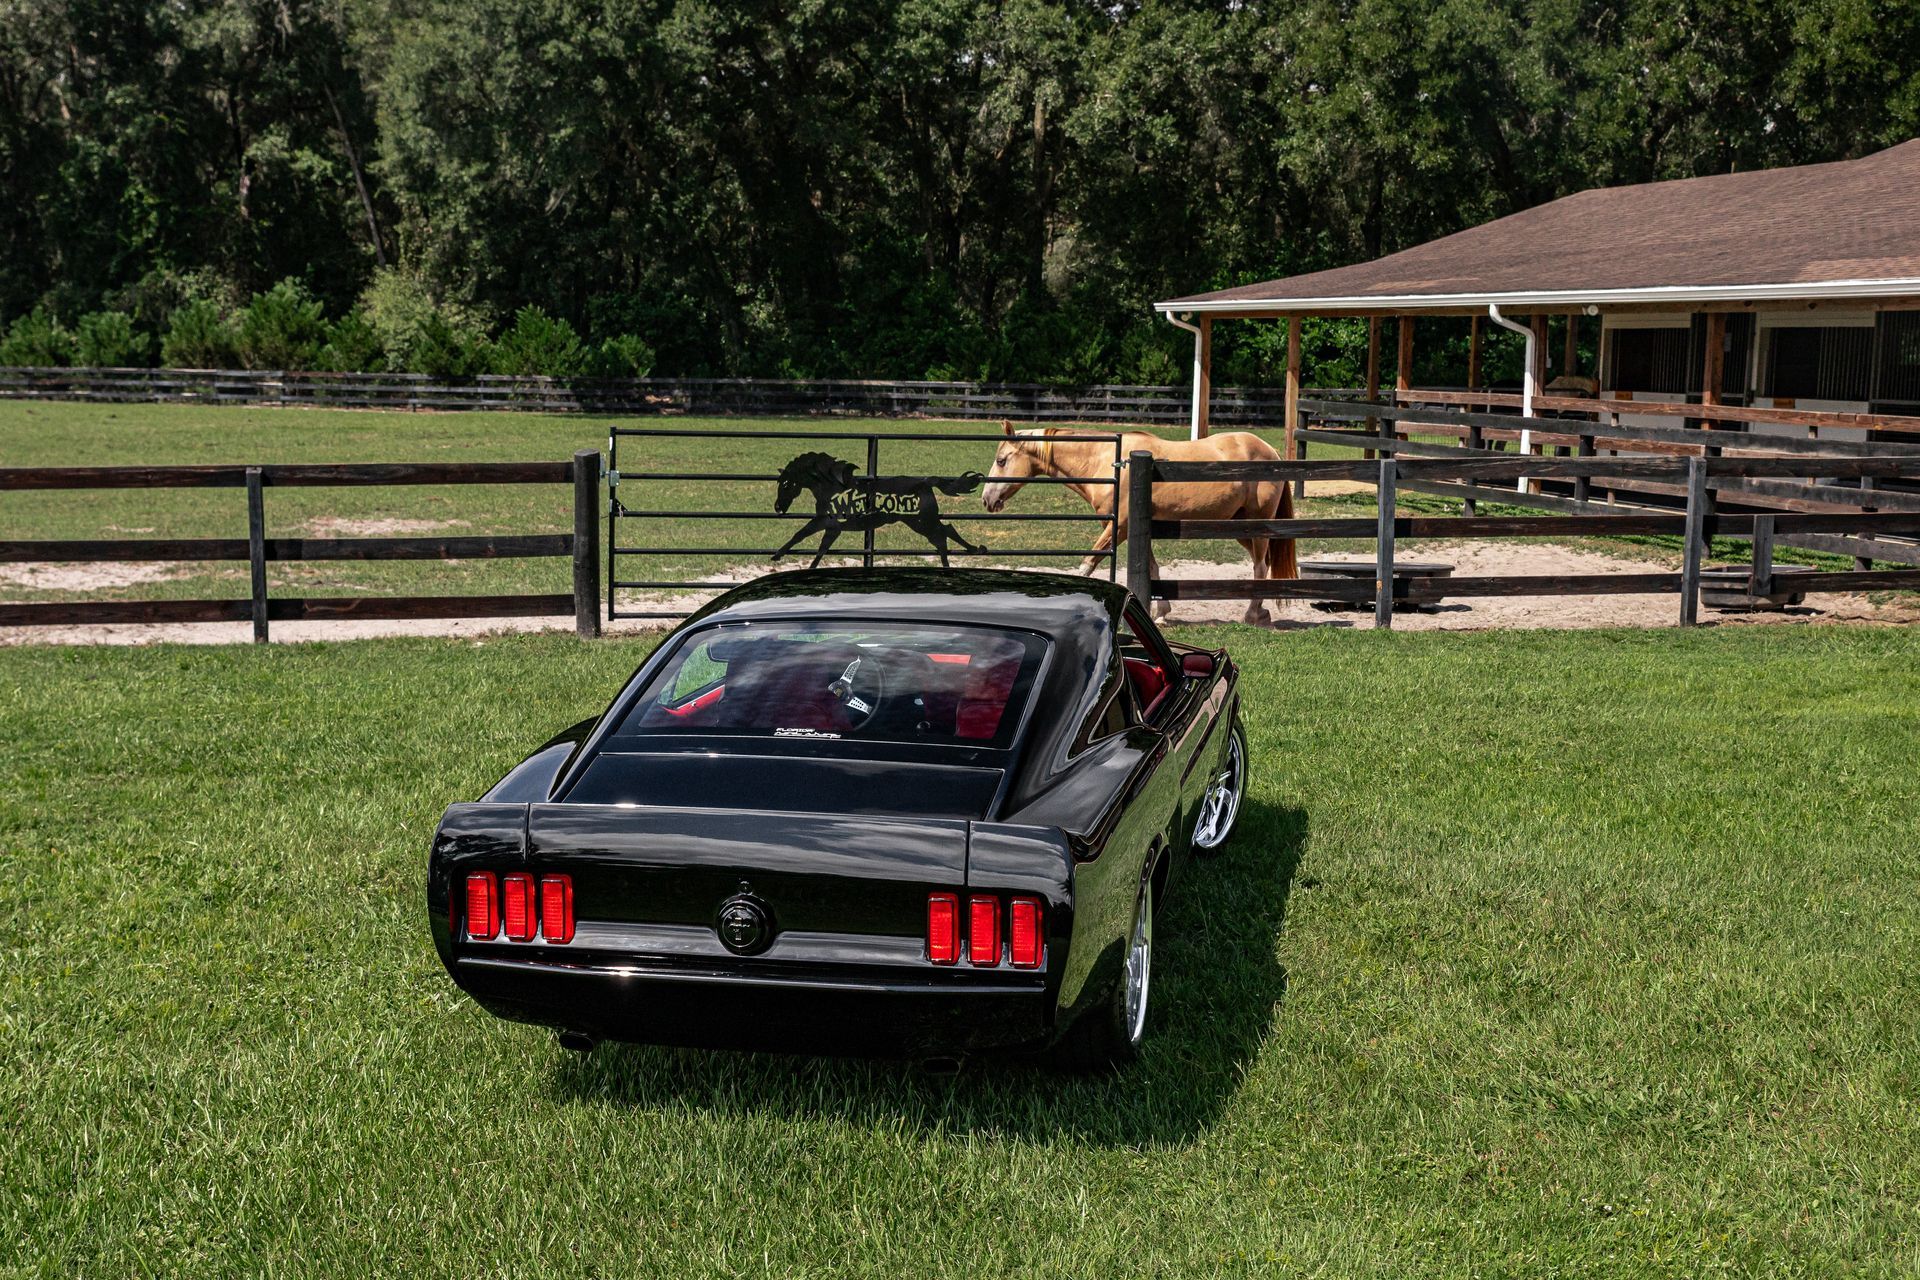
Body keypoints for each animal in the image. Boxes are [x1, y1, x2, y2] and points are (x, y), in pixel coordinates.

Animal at [771, 451, 988, 568]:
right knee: (944, 535)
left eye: (786, 484)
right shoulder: (830, 526)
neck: (833, 487)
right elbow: (816, 545)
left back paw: (970, 553)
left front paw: (778, 556)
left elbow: (807, 539)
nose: (778, 507)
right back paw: (965, 555)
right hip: (923, 522)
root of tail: (926, 481)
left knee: (944, 533)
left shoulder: (826, 523)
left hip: (922, 522)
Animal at [980, 422, 1297, 625]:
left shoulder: (1118, 528)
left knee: (1260, 567)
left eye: (1001, 460)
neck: (1112, 463)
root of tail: (1271, 451)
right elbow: (1151, 568)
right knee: (1262, 565)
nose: (986, 499)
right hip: (1239, 527)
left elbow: (1089, 562)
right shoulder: (1135, 529)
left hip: (1257, 526)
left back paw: (1253, 614)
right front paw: (1161, 612)